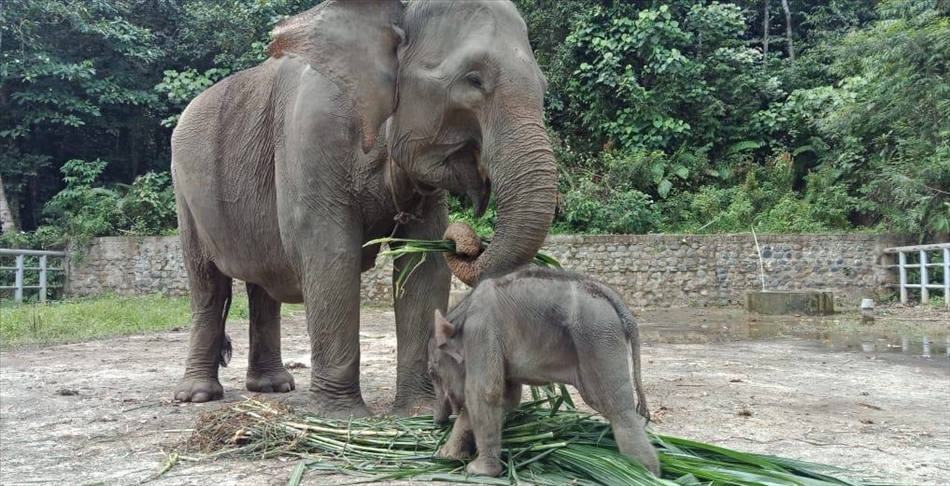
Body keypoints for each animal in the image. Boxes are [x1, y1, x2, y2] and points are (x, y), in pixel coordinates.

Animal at [170, 0, 556, 418]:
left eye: (543, 86)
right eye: (474, 80)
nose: (467, 241)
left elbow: (423, 266)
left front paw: (419, 413)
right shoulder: (313, 135)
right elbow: (331, 254)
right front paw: (342, 418)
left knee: (262, 284)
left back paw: (274, 387)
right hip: (184, 190)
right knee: (208, 284)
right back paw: (197, 395)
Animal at [428, 266, 660, 474]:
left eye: (432, 373)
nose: (436, 421)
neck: (463, 310)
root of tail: (610, 295)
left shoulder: (481, 331)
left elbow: (485, 392)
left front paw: (478, 471)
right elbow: (507, 398)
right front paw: (447, 455)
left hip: (598, 338)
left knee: (615, 407)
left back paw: (642, 472)